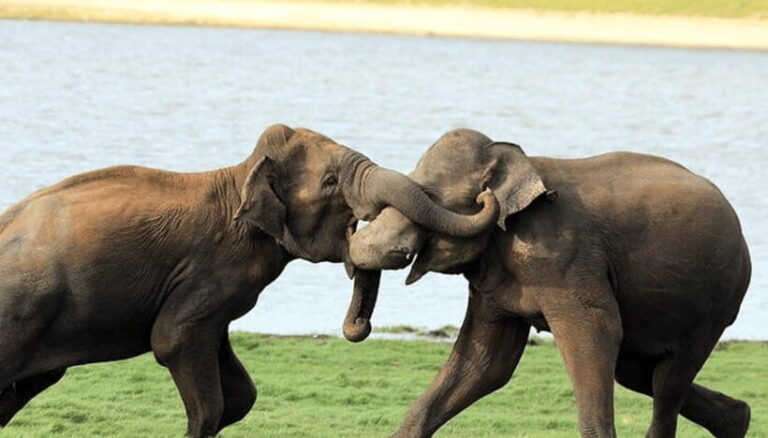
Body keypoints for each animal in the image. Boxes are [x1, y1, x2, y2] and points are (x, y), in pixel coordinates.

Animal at [0, 124, 500, 437]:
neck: (239, 177)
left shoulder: (213, 299)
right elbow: (174, 344)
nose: (487, 194)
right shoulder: (207, 272)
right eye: (331, 181)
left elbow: (242, 396)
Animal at [349, 128, 752, 438]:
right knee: (636, 372)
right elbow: (486, 363)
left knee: (668, 381)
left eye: (429, 196)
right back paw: (739, 420)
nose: (360, 327)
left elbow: (597, 332)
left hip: (715, 303)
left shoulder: (562, 256)